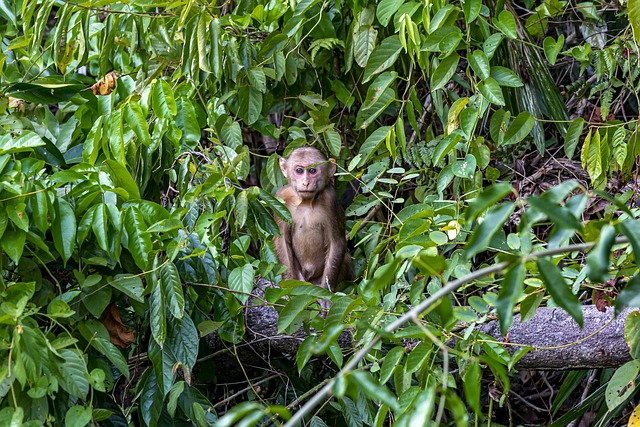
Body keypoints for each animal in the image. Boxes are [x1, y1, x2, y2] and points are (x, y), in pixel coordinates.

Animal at [272, 146, 352, 298]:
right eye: (299, 170)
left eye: (312, 171)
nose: (306, 182)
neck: (305, 202)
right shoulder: (281, 198)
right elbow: (282, 241)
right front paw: (288, 286)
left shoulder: (330, 199)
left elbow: (336, 242)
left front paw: (326, 293)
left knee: (345, 257)